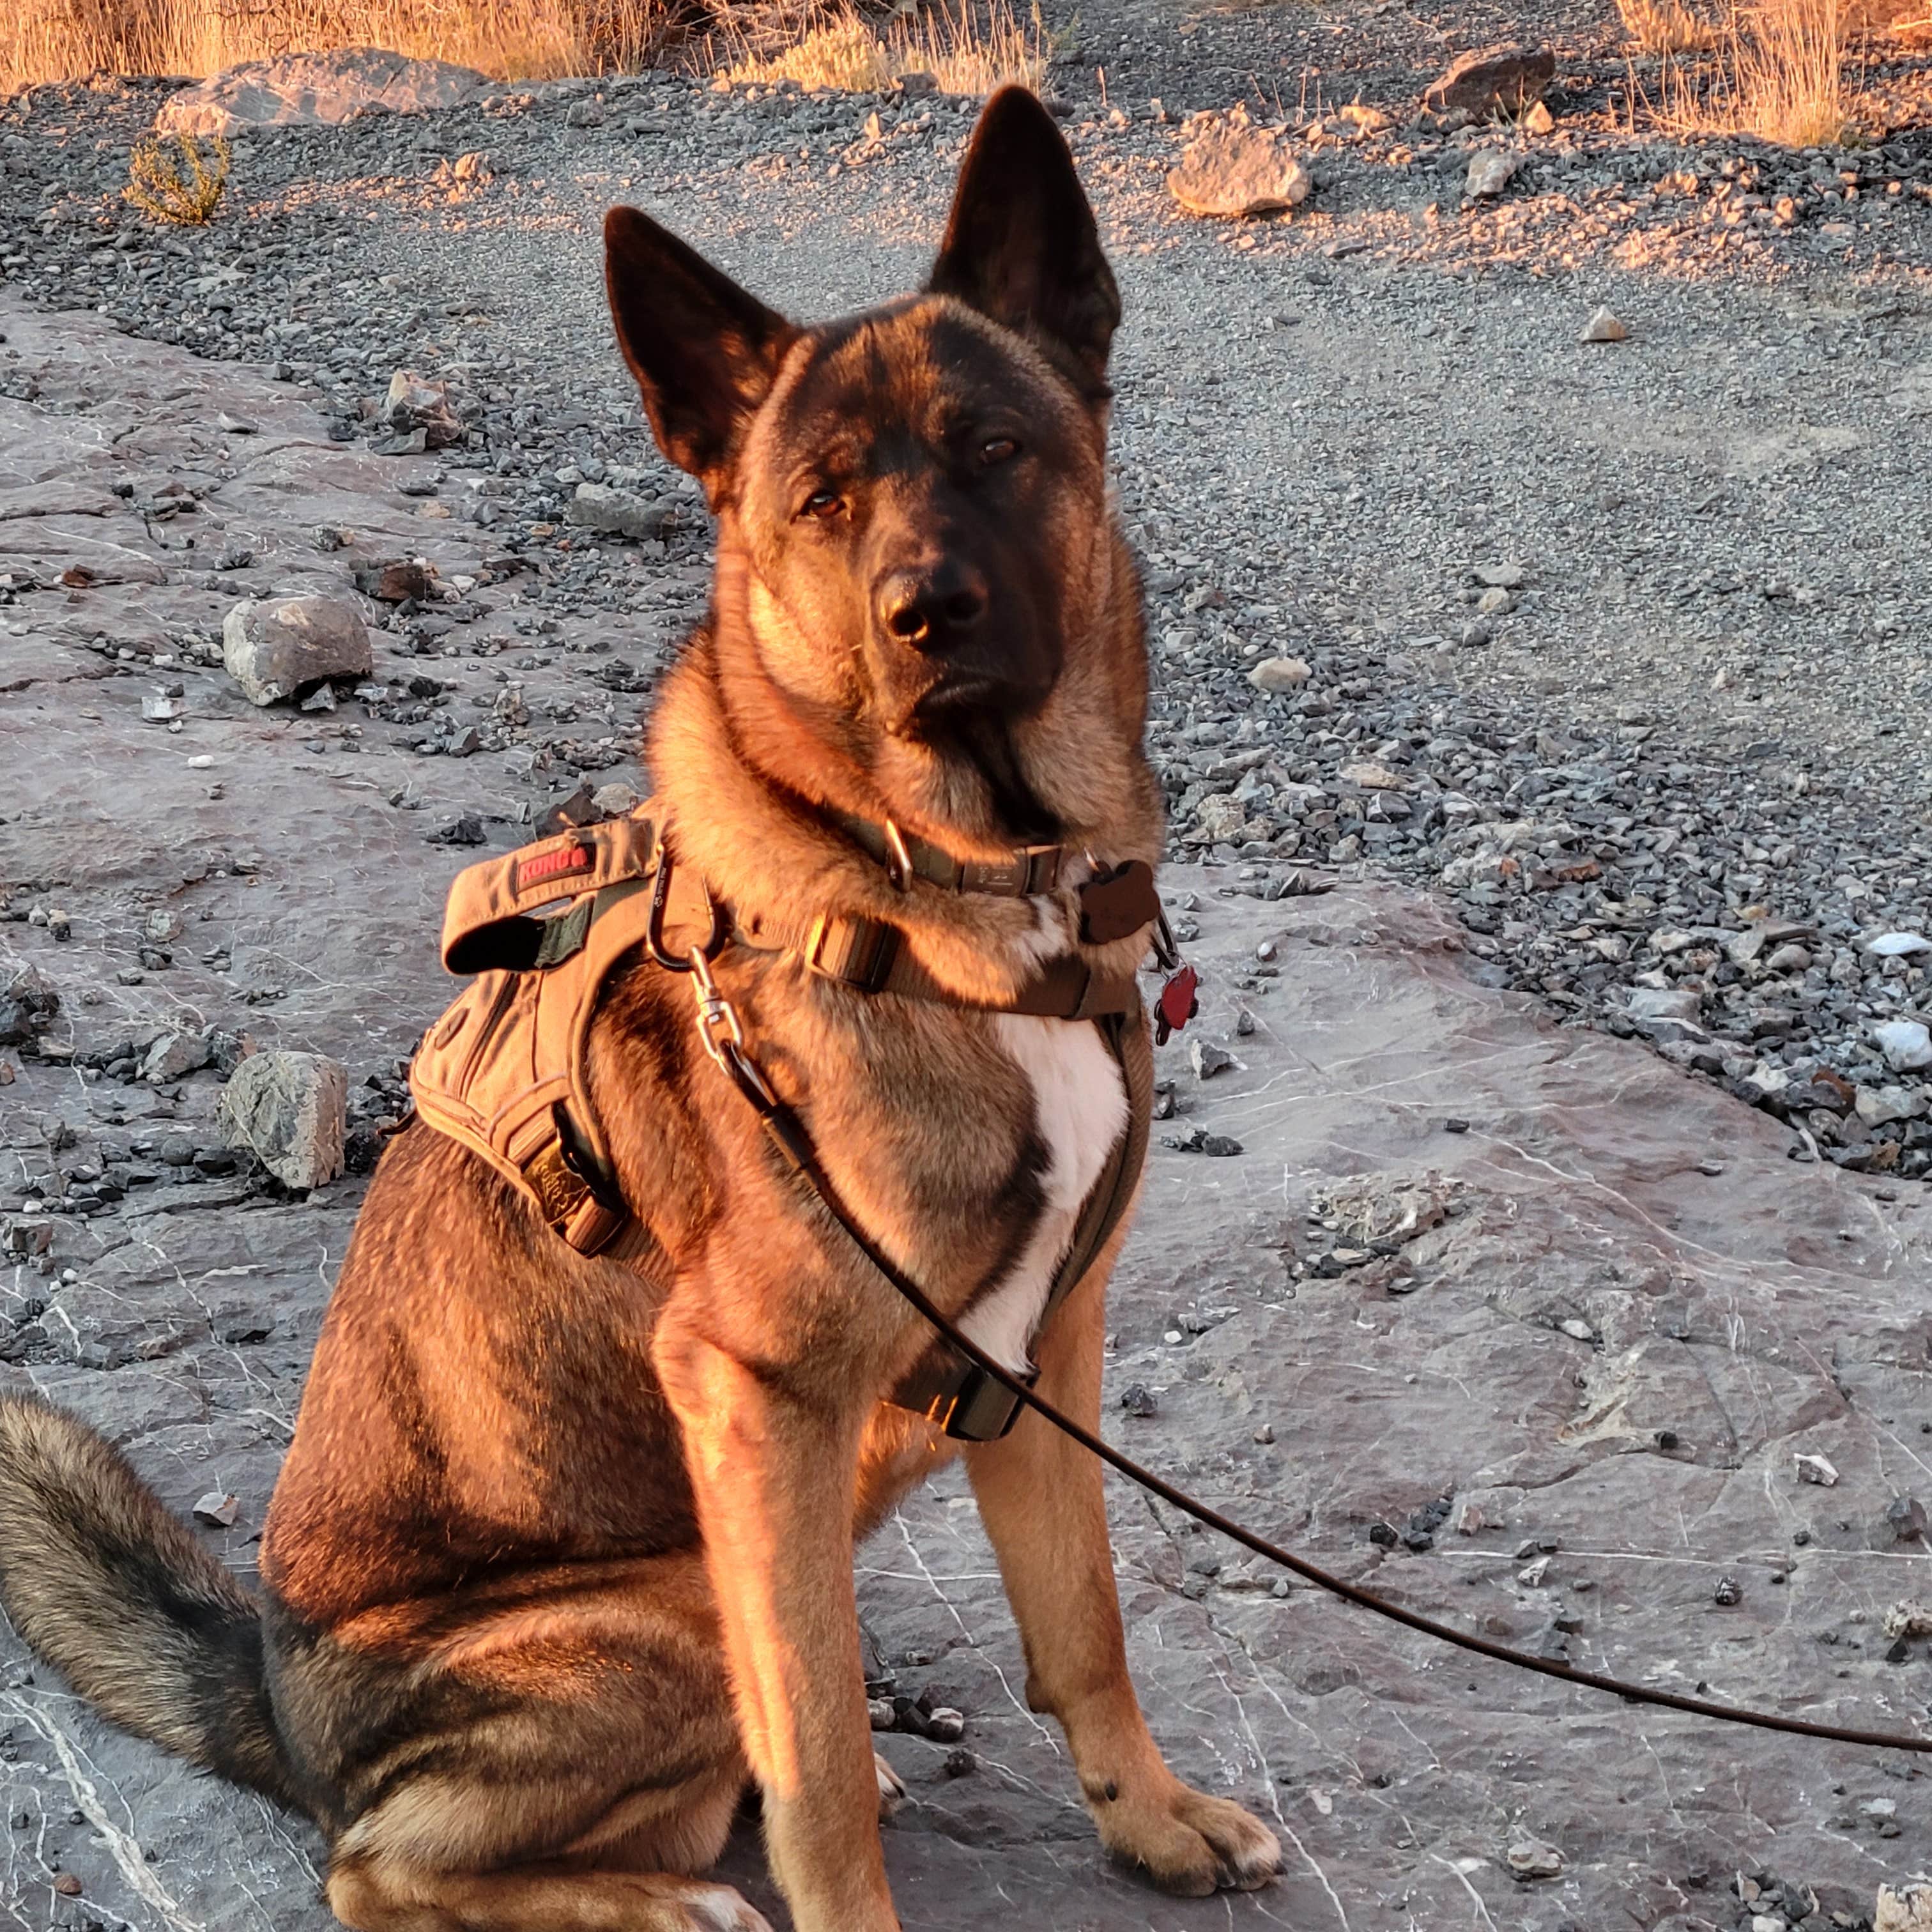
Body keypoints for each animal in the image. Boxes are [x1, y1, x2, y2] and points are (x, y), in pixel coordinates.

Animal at [0, 87, 1282, 1932]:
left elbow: (1088, 1629)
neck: (967, 890)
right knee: (381, 1871)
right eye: (819, 500)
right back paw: (655, 1892)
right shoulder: (757, 1406)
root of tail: (278, 1698)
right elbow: (818, 1770)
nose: (928, 618)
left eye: (995, 449)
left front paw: (1153, 1820)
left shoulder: (1048, 1359)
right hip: (665, 1604)